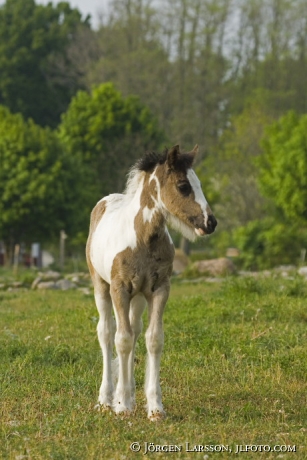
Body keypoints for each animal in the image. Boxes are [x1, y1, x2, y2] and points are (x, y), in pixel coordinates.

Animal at [85, 144, 218, 420]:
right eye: (183, 186)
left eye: (199, 183)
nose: (210, 222)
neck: (142, 239)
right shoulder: (119, 290)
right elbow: (121, 340)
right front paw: (121, 405)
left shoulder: (159, 289)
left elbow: (153, 339)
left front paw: (155, 407)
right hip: (101, 286)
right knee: (107, 332)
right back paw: (106, 399)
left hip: (138, 297)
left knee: (135, 330)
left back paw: (132, 396)